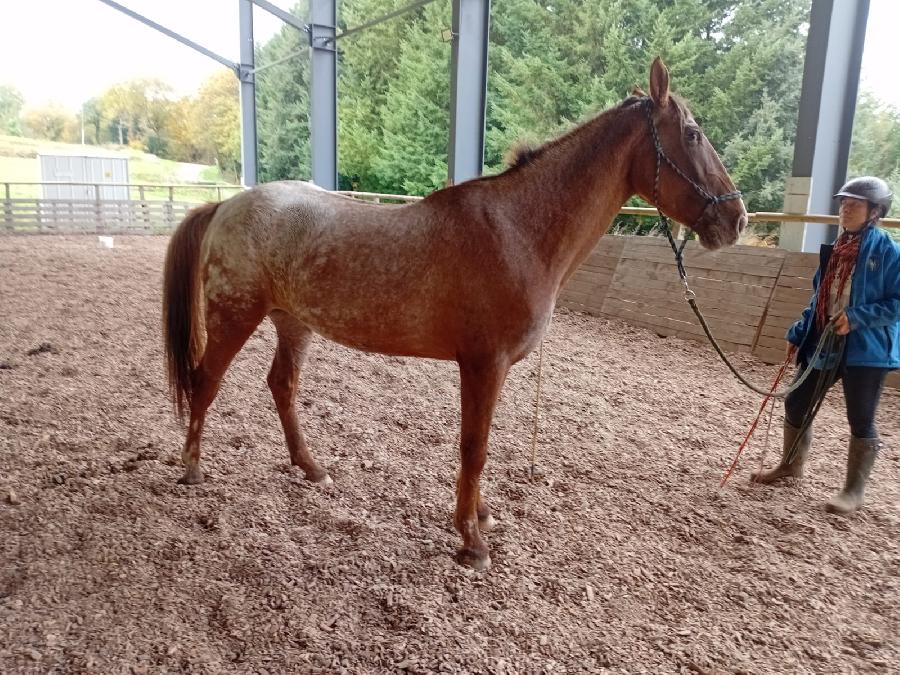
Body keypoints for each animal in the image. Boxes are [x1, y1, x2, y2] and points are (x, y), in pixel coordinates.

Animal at [162, 58, 747, 570]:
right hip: (236, 316)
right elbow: (474, 447)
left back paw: (312, 469)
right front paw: (471, 541)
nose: (737, 219)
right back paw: (192, 469)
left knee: (281, 386)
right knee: (206, 380)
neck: (518, 230)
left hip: (293, 321)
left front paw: (480, 518)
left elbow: (478, 447)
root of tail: (226, 205)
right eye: (692, 134)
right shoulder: (483, 364)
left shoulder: (492, 368)